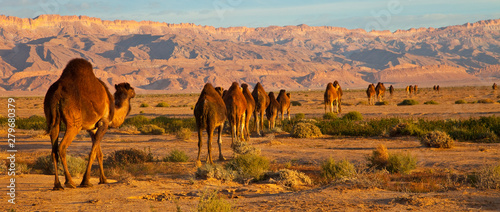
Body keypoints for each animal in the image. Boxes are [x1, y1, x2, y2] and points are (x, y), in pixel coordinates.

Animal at [43, 58, 135, 190]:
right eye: (131, 89)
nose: (134, 92)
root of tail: (56, 94)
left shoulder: (92, 128)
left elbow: (99, 153)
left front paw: (103, 179)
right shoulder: (104, 123)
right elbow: (92, 152)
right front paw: (86, 181)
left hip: (52, 119)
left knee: (54, 150)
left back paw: (57, 185)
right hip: (74, 124)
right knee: (62, 147)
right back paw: (70, 182)